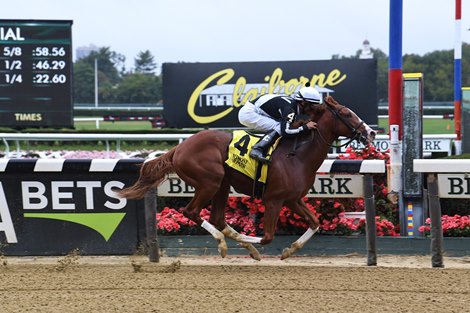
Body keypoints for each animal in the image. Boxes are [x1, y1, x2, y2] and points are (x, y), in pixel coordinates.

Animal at [117, 96, 374, 260]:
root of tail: (178, 148)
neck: (298, 155)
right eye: (346, 113)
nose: (370, 132)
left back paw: (243, 246)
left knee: (218, 219)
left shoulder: (293, 199)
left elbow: (315, 222)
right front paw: (258, 245)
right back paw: (224, 244)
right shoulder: (274, 199)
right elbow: (268, 237)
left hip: (222, 185)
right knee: (191, 212)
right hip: (210, 182)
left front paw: (289, 250)